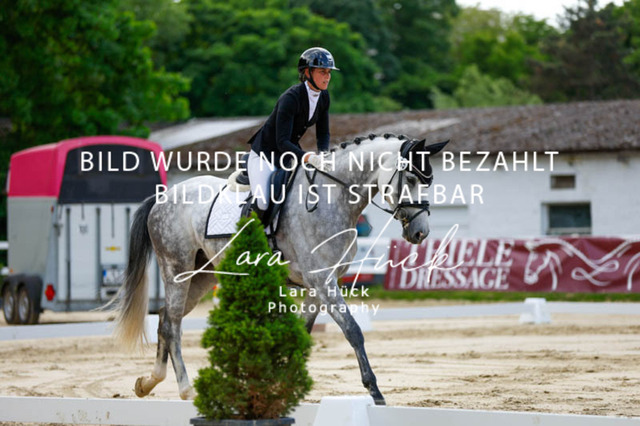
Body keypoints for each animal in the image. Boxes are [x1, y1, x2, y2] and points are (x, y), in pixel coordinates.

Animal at [111, 134, 448, 405]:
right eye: (412, 179)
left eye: (428, 182)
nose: (420, 233)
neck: (333, 198)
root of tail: (163, 197)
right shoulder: (323, 281)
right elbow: (353, 331)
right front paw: (375, 392)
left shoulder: (318, 286)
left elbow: (302, 335)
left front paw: (277, 385)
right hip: (177, 269)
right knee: (173, 325)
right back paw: (186, 389)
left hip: (202, 276)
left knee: (166, 318)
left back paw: (148, 383)